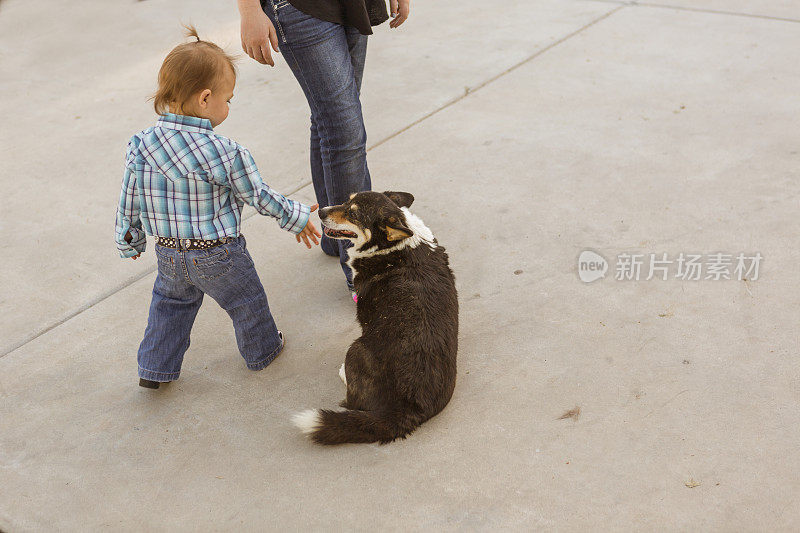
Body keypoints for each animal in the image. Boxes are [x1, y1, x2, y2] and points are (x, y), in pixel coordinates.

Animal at [292, 191, 456, 444]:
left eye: (353, 214)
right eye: (347, 200)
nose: (320, 212)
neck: (393, 247)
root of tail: (411, 408)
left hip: (355, 349)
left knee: (352, 401)